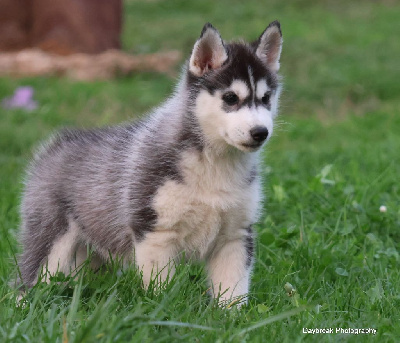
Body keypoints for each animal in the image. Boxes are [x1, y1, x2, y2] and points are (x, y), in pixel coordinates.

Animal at [18, 21, 282, 306]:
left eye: (266, 98)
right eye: (231, 98)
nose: (260, 132)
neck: (214, 163)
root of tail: (59, 142)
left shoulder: (236, 235)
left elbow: (233, 290)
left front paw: (231, 315)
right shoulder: (154, 231)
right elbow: (160, 286)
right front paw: (163, 310)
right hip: (50, 239)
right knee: (30, 277)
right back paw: (23, 305)